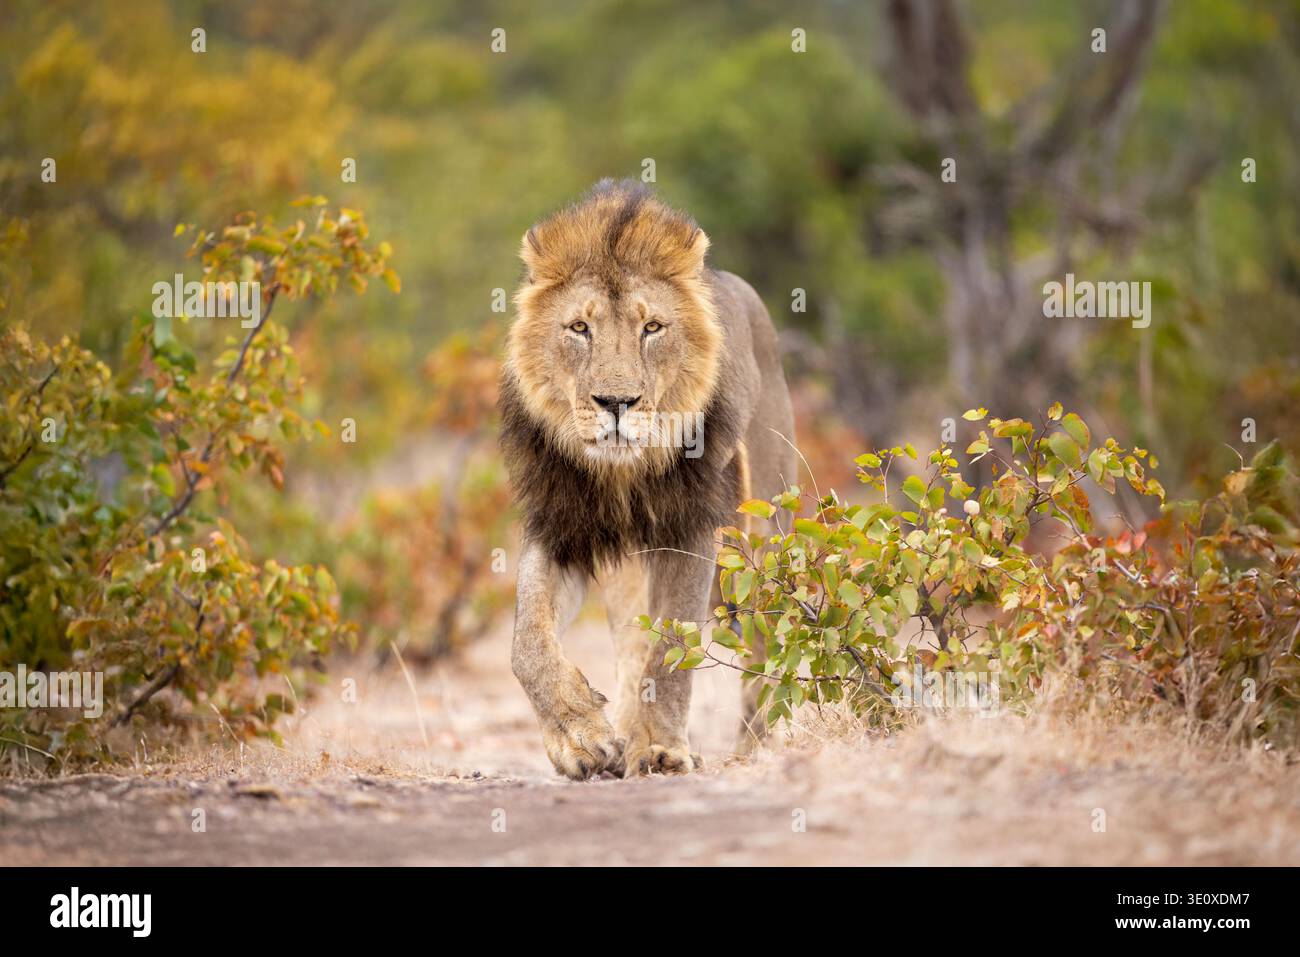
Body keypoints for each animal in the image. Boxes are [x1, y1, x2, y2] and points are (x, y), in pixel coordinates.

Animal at [499, 179, 796, 779]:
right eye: (580, 328)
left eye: (652, 328)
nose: (616, 402)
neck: (622, 473)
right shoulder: (560, 525)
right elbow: (528, 643)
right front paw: (581, 737)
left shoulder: (691, 529)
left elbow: (672, 649)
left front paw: (662, 750)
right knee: (630, 643)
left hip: (762, 536)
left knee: (760, 642)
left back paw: (750, 746)